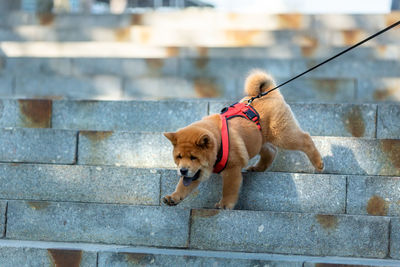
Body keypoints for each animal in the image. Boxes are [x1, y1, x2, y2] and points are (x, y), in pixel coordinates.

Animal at [163, 70, 324, 210]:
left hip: (282, 135)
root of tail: (270, 93)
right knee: (270, 151)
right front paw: (173, 197)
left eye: (193, 157)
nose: (182, 170)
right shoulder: (195, 173)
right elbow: (183, 187)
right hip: (259, 140)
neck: (219, 142)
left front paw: (224, 205)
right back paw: (258, 168)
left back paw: (319, 164)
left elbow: (229, 189)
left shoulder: (232, 169)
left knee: (305, 139)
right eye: (179, 157)